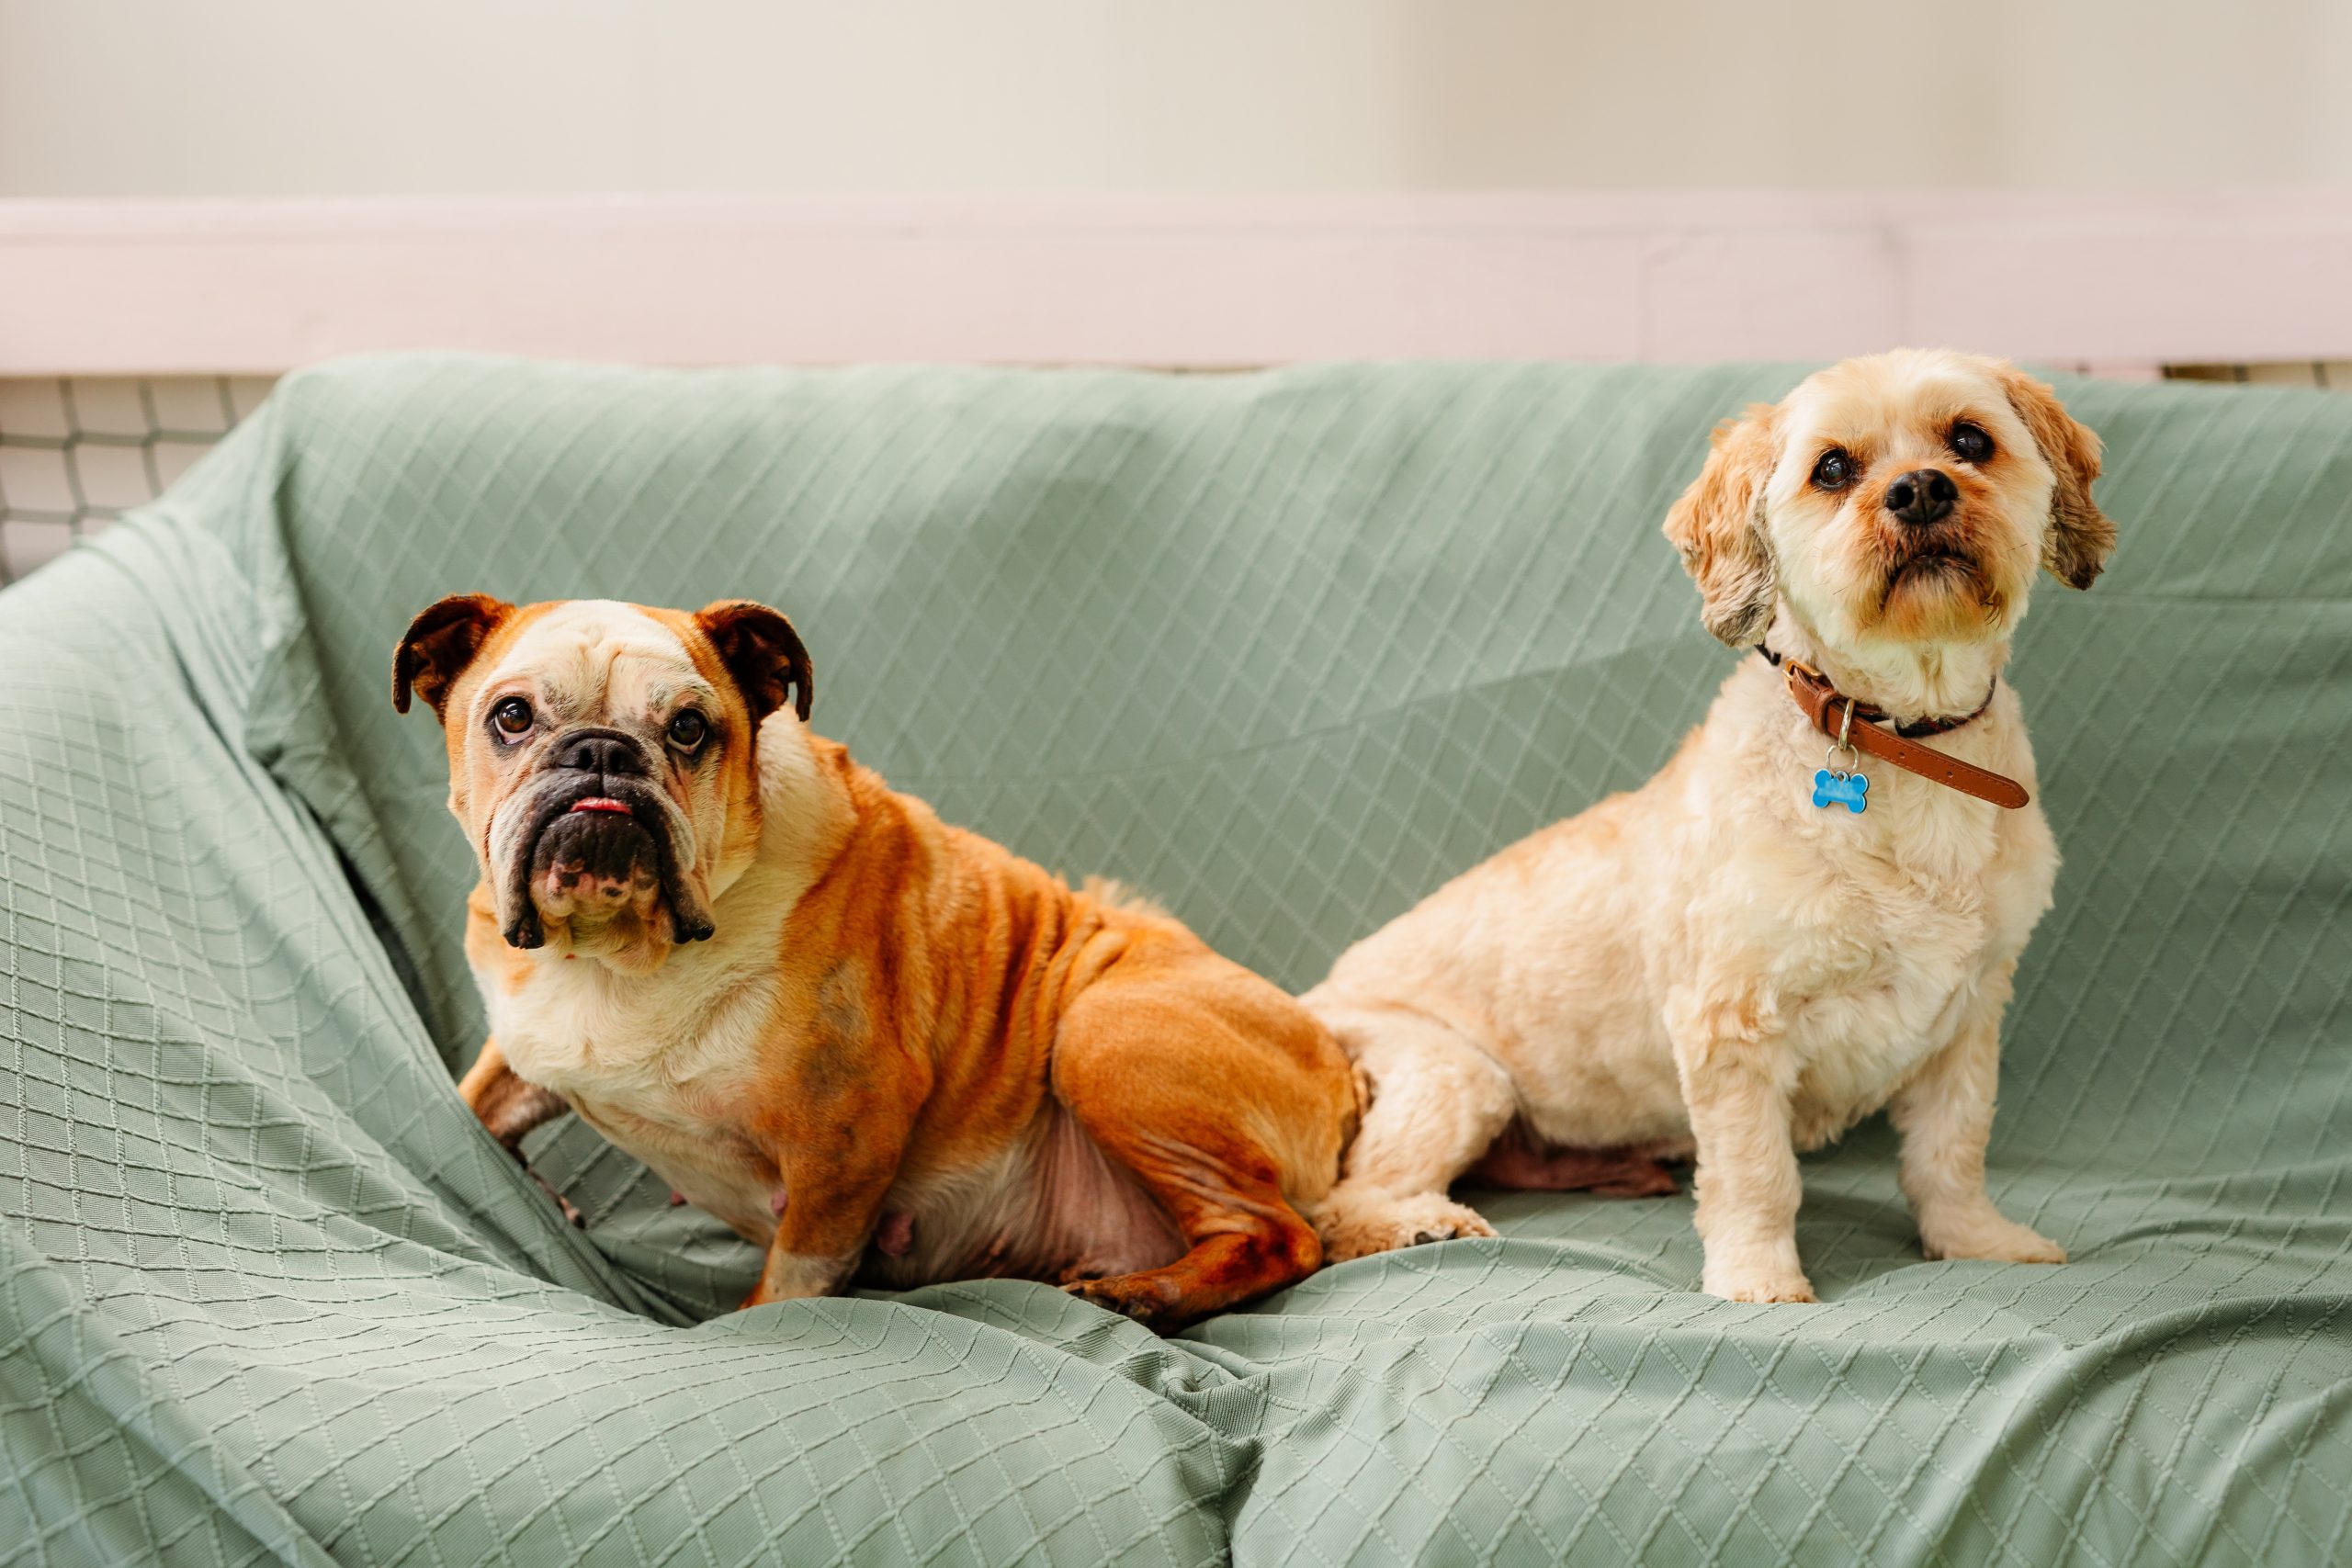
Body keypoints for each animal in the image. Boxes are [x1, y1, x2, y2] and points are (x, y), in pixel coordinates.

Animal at [1307, 352, 2117, 1297]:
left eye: (1971, 440)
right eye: (1832, 468)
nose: (1919, 489)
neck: (1905, 743)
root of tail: (1317, 998)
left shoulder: (1966, 1014)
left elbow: (1951, 1150)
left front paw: (1974, 1240)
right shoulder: (1731, 1026)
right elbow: (1756, 1172)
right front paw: (1758, 1279)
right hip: (1455, 1073)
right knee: (1338, 1203)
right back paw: (1418, 1222)